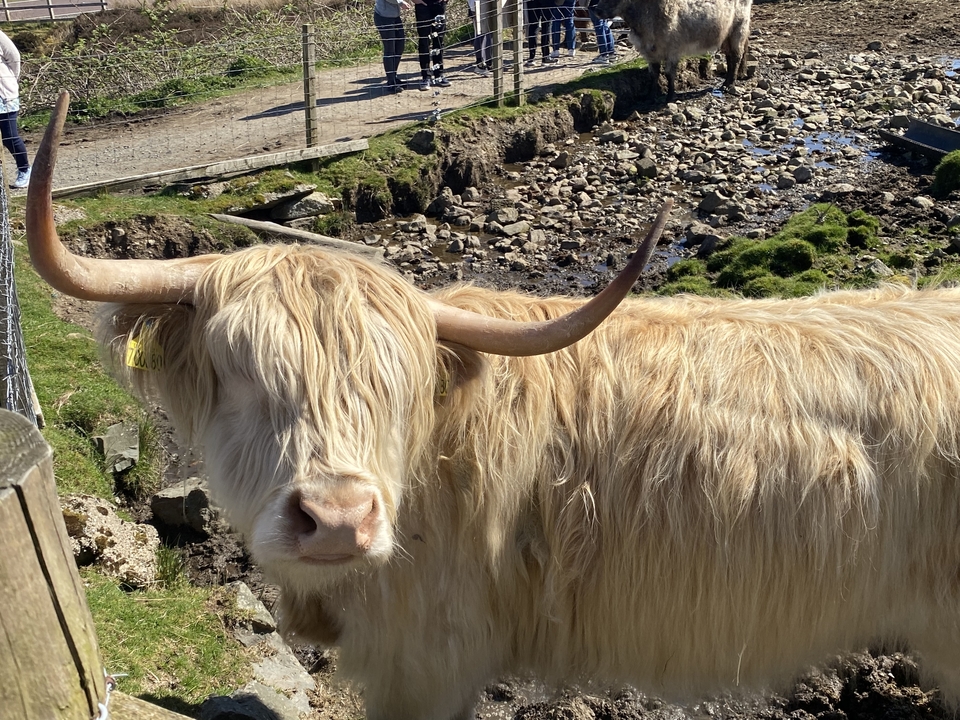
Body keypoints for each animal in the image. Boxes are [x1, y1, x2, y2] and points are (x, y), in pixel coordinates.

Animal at [593, 0, 752, 99]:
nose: (597, 10)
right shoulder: (651, 53)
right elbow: (654, 74)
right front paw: (651, 95)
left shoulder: (672, 50)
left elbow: (669, 73)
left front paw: (670, 95)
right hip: (726, 34)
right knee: (730, 56)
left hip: (738, 27)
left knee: (736, 56)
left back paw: (729, 84)